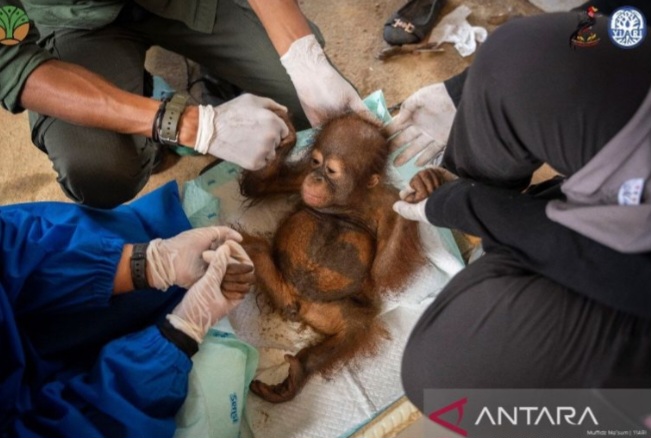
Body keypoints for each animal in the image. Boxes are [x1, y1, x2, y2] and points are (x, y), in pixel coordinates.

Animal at [239, 113, 426, 403]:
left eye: (332, 171)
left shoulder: (386, 204)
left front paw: (418, 195)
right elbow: (260, 185)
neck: (349, 200)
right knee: (250, 249)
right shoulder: (301, 177)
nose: (316, 177)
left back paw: (297, 372)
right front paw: (286, 137)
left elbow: (382, 273)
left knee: (355, 326)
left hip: (324, 309)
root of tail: (296, 302)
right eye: (316, 162)